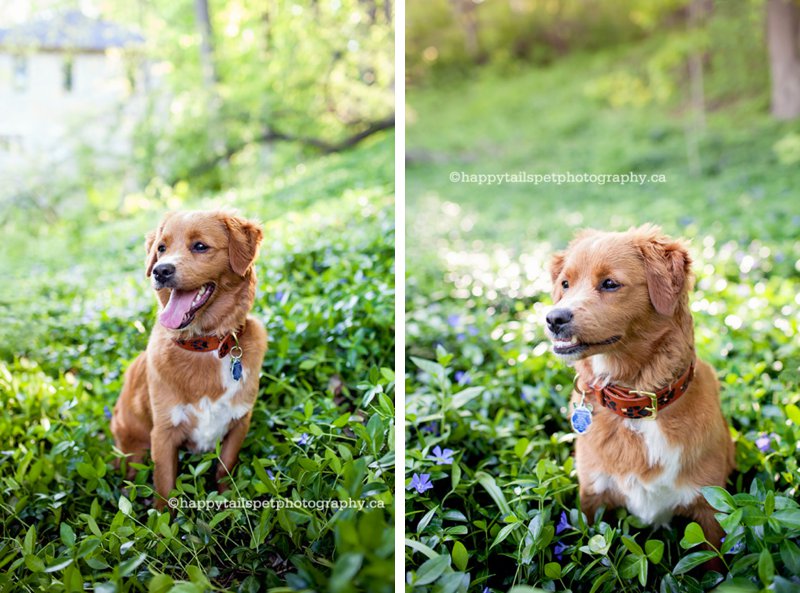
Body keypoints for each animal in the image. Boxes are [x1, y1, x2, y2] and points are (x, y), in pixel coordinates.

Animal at [111, 209, 268, 508]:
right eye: (161, 249)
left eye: (200, 246)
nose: (160, 271)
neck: (204, 345)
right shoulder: (163, 433)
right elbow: (164, 491)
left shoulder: (239, 422)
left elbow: (224, 470)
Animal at [548, 223, 736, 552]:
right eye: (565, 284)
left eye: (610, 283)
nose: (552, 318)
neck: (637, 406)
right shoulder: (591, 499)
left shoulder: (712, 511)